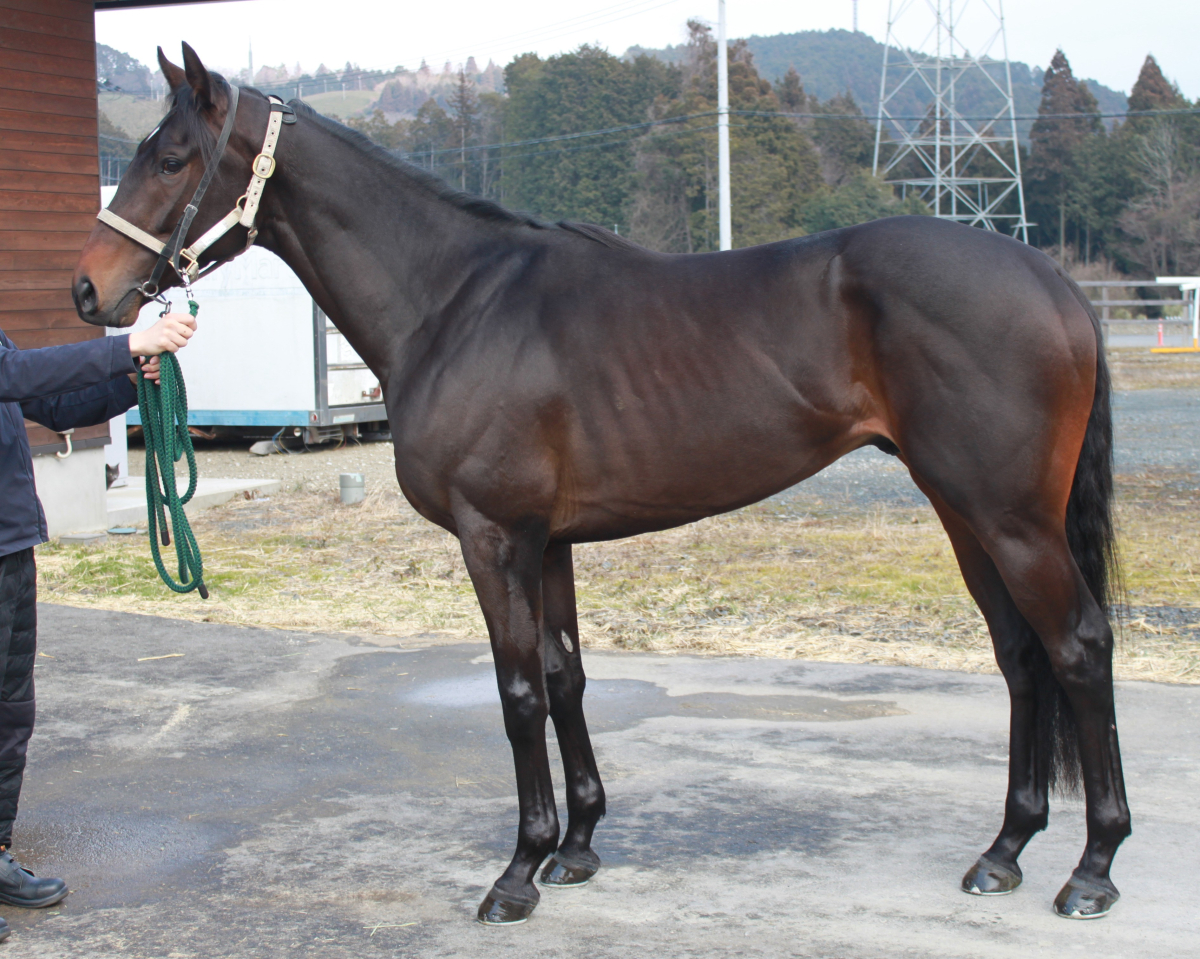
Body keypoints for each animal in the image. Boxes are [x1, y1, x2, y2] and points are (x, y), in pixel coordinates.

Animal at [72, 45, 1129, 925]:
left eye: (172, 159)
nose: (87, 290)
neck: (455, 300)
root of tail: (1051, 280)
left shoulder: (494, 536)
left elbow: (515, 693)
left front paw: (517, 870)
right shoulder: (550, 543)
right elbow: (565, 676)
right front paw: (576, 846)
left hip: (1009, 517)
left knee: (1076, 646)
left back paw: (1092, 867)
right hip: (966, 513)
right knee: (1021, 656)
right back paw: (1004, 850)